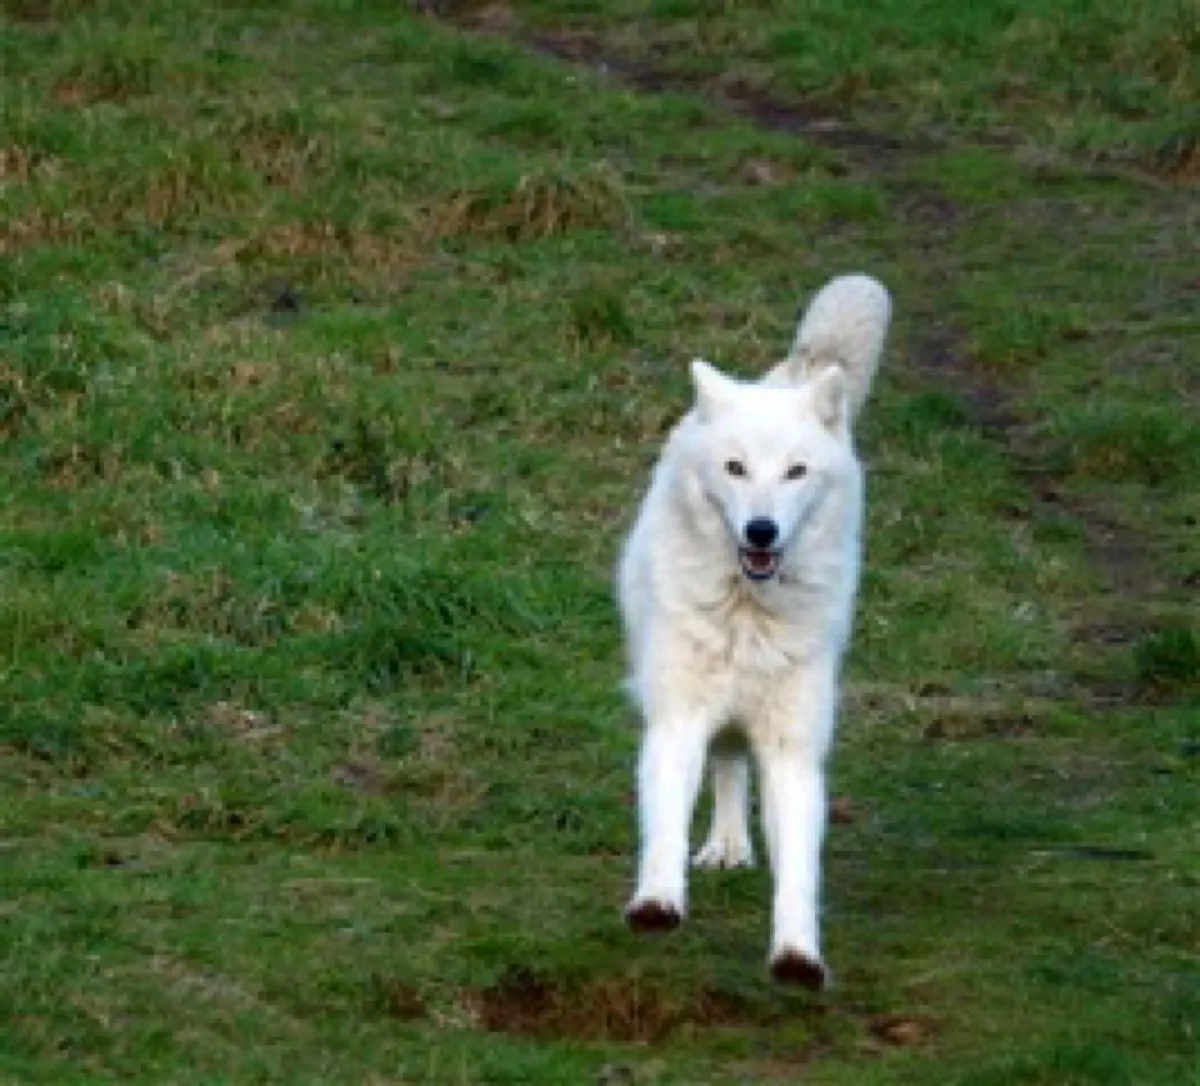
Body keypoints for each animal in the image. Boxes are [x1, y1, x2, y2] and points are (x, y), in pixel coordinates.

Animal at [617, 274, 892, 988]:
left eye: (795, 472)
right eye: (736, 468)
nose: (761, 532)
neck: (748, 615)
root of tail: (784, 374)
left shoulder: (793, 750)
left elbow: (798, 868)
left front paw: (798, 955)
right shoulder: (678, 722)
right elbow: (665, 826)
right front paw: (657, 901)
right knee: (727, 763)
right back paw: (725, 846)